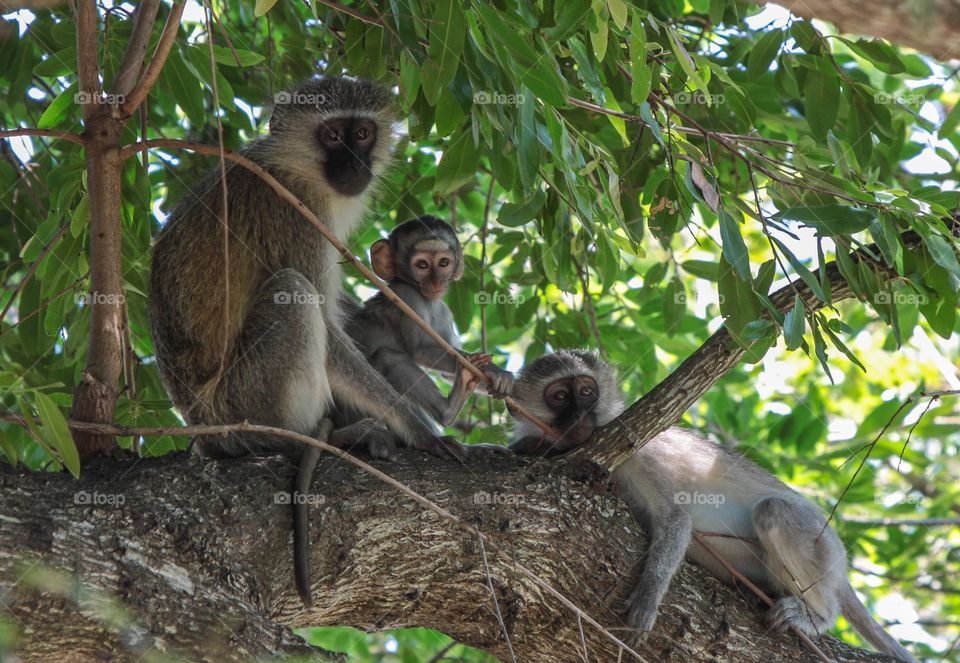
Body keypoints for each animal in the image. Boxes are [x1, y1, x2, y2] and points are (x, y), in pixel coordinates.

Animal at [148, 76, 467, 606]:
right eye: (333, 135)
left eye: (362, 133)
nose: (355, 163)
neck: (295, 168)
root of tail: (201, 428)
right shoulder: (297, 212)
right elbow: (330, 333)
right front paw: (419, 428)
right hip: (243, 403)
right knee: (293, 292)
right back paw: (322, 435)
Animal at [346, 215, 514, 429]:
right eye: (422, 265)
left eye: (443, 262)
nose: (436, 282)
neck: (427, 300)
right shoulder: (407, 296)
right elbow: (421, 349)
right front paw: (493, 370)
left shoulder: (444, 312)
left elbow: (448, 373)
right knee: (388, 357)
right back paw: (448, 410)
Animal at [507, 350, 917, 662]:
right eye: (560, 397)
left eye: (586, 391)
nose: (579, 416)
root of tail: (839, 567)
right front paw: (531, 446)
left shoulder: (638, 454)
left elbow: (675, 519)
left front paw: (648, 597)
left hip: (820, 541)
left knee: (773, 511)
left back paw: (817, 616)